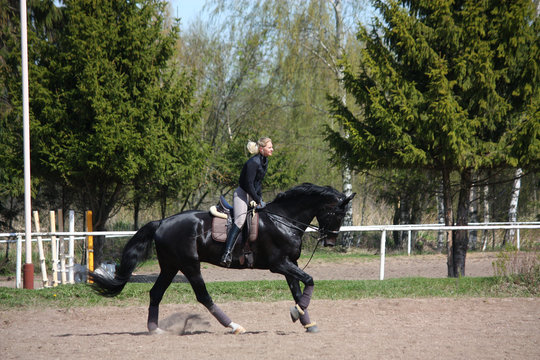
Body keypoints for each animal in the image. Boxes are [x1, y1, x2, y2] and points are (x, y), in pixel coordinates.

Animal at [89, 184, 354, 334]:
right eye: (337, 214)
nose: (330, 242)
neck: (283, 219)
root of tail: (162, 222)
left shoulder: (291, 264)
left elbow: (298, 291)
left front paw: (306, 321)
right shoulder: (279, 264)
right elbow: (309, 281)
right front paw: (297, 314)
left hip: (170, 266)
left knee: (156, 293)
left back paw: (155, 330)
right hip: (189, 265)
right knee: (203, 296)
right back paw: (234, 326)